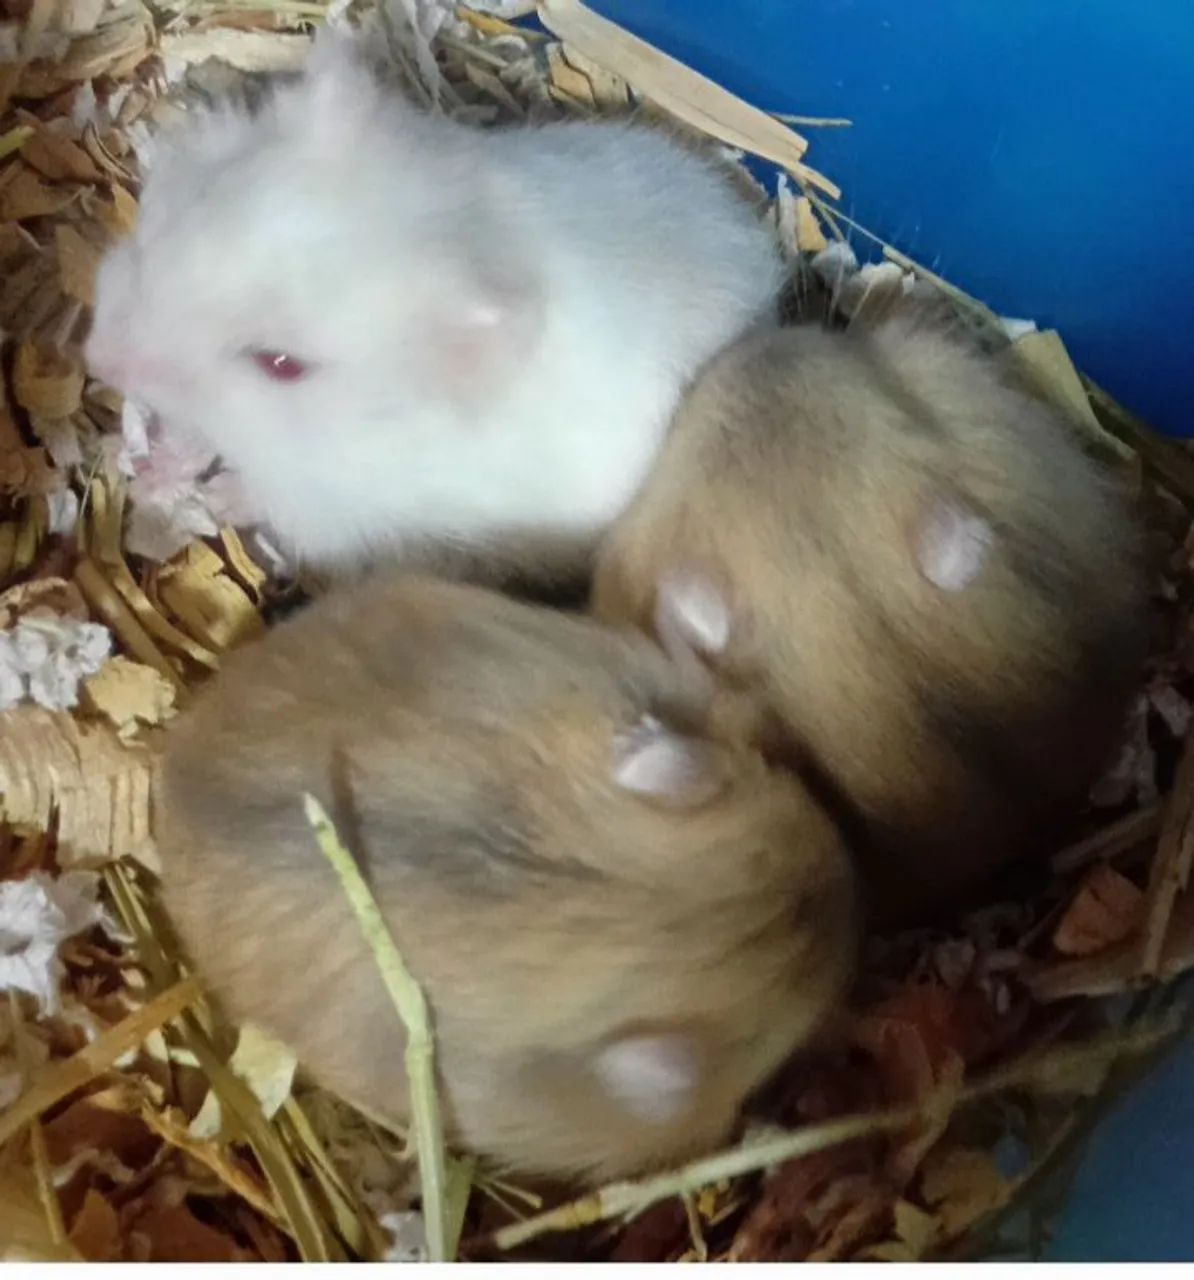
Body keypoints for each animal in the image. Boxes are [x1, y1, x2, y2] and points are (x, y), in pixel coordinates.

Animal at [85, 33, 784, 589]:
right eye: (192, 217)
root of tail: (764, 260)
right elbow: (194, 436)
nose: (96, 360)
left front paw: (202, 493)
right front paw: (145, 471)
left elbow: (261, 491)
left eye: (282, 365)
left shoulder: (337, 502)